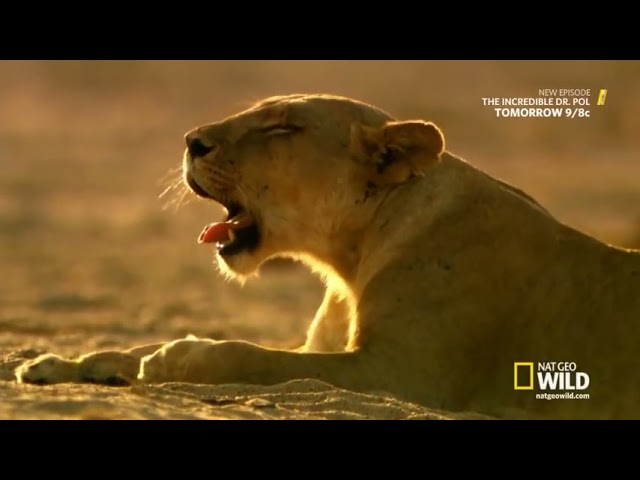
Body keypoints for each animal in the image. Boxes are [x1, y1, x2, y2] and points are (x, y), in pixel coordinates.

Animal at [16, 93, 640, 420]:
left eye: (282, 127)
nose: (191, 140)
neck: (348, 262)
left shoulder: (403, 373)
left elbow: (255, 357)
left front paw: (178, 357)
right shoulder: (335, 348)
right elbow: (144, 346)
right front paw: (58, 362)